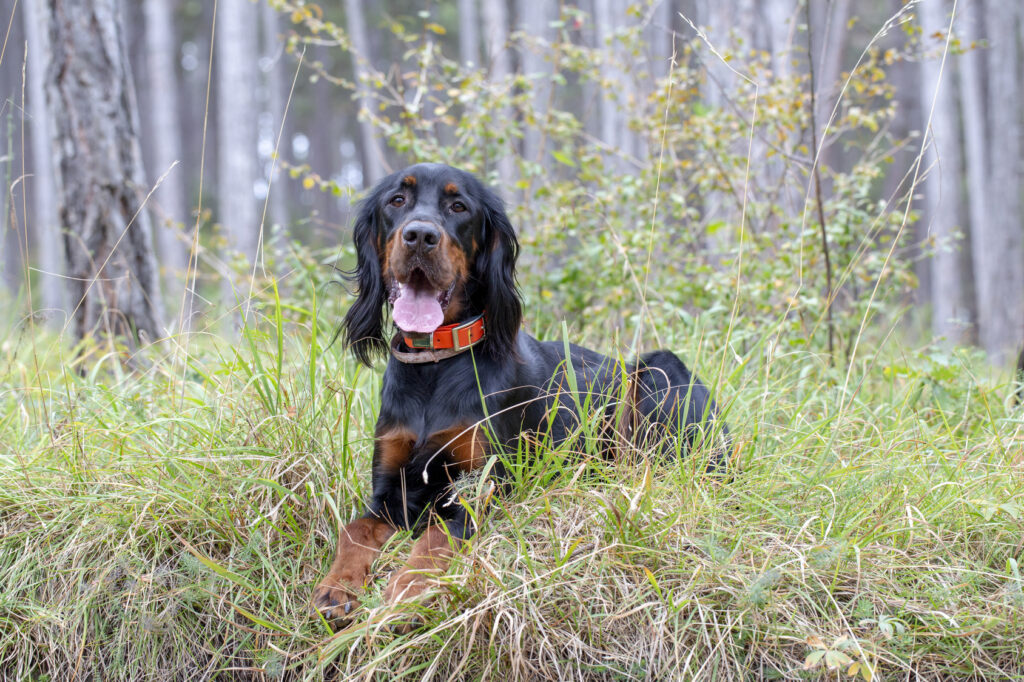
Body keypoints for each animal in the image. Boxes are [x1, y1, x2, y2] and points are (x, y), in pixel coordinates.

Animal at [311, 164, 729, 622]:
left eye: (459, 207)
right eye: (396, 201)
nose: (420, 235)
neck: (436, 364)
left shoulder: (483, 488)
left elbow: (436, 536)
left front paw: (407, 591)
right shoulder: (390, 489)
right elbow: (354, 529)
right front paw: (336, 588)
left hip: (656, 374)